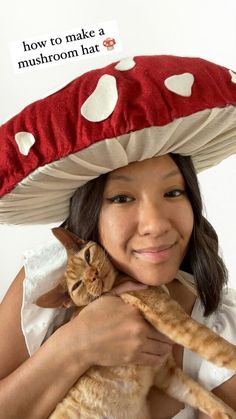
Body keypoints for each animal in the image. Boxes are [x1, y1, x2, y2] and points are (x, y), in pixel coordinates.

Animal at [36, 230, 236, 419]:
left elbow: (202, 395)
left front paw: (228, 412)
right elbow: (221, 349)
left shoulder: (165, 371)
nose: (93, 275)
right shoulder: (174, 319)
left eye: (87, 256)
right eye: (77, 285)